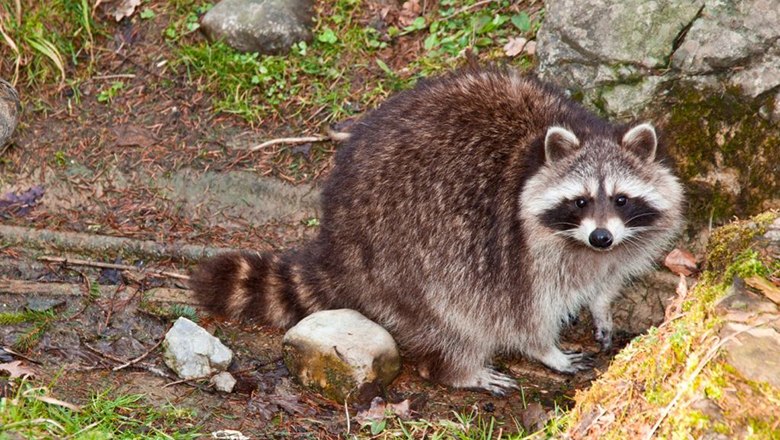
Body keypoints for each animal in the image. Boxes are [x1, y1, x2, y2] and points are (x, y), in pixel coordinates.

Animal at [192, 66, 684, 396]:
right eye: (580, 201)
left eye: (620, 199)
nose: (601, 237)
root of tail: (337, 239)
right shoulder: (516, 251)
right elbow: (523, 313)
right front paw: (547, 349)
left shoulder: (622, 243)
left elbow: (609, 276)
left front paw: (601, 304)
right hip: (405, 256)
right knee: (451, 315)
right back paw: (459, 369)